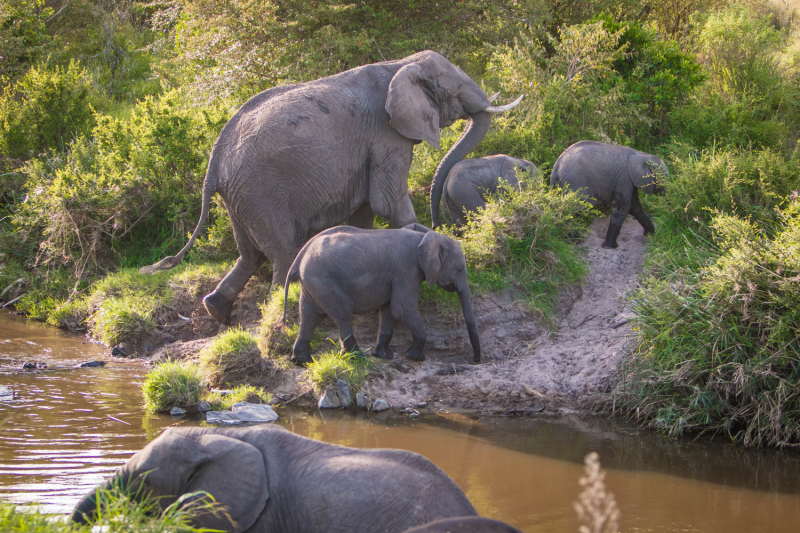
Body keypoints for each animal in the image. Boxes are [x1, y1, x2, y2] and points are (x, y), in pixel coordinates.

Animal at [141, 51, 520, 324]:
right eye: (455, 89)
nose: (445, 224)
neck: (402, 64)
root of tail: (213, 164)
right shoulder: (386, 133)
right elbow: (387, 201)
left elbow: (366, 209)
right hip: (261, 193)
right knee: (282, 251)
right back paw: (279, 309)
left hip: (239, 198)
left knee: (249, 254)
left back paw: (216, 310)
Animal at [284, 223, 478, 366]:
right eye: (459, 270)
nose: (476, 360)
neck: (427, 236)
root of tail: (301, 255)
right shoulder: (407, 269)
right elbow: (402, 309)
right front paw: (414, 357)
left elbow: (389, 310)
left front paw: (384, 356)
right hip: (324, 281)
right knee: (341, 315)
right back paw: (357, 358)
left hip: (313, 283)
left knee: (309, 316)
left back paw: (303, 362)